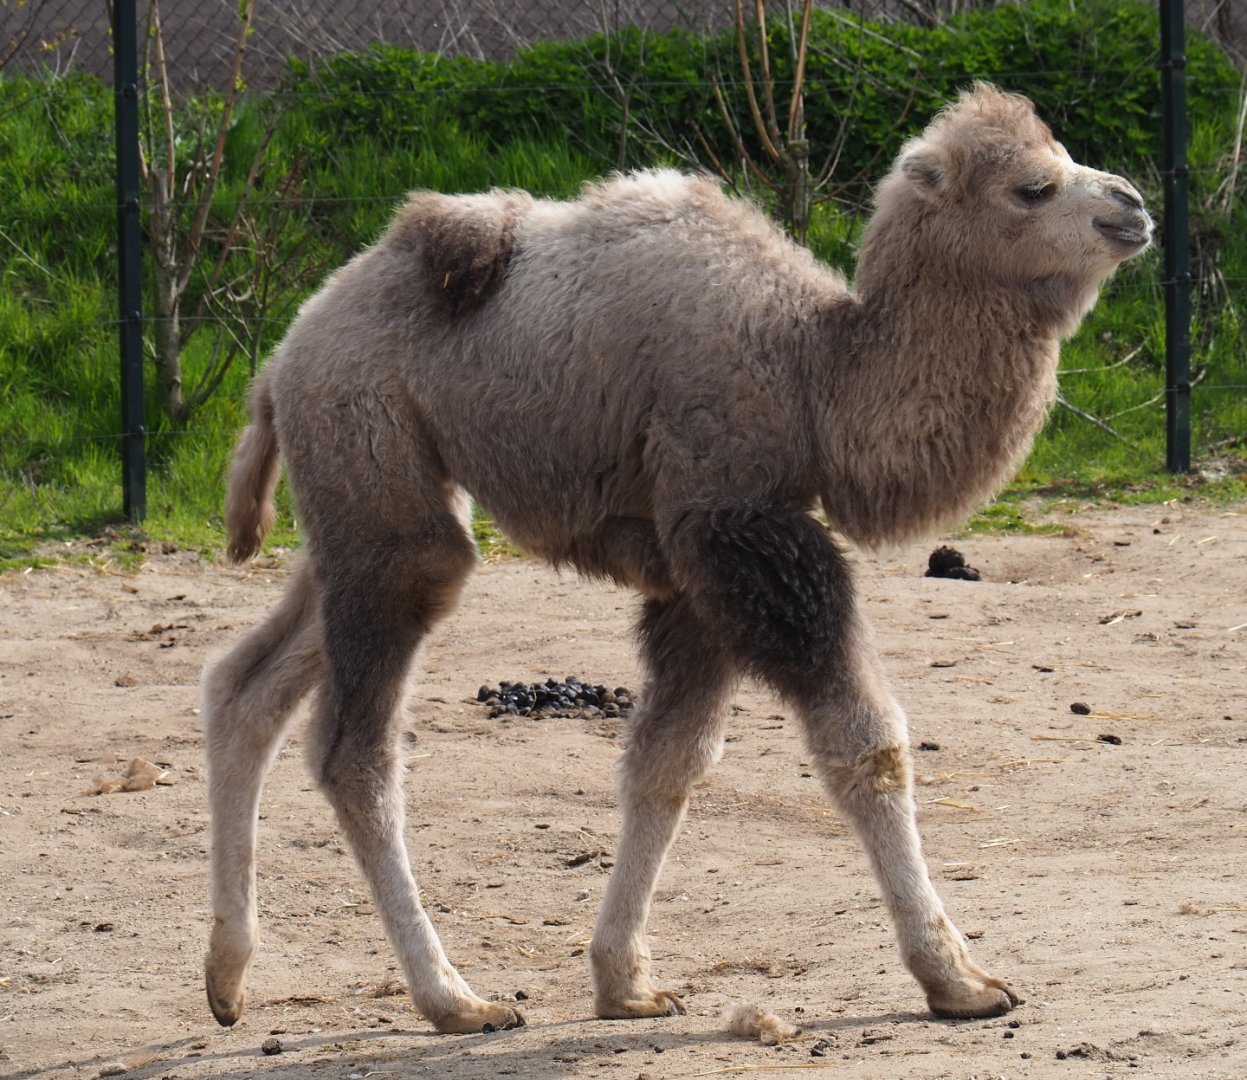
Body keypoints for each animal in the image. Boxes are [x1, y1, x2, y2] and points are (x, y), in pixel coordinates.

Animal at [201, 83, 1151, 1035]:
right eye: (1031, 187)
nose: (1132, 205)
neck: (811, 375)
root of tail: (282, 356)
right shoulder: (738, 530)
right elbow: (865, 747)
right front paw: (958, 979)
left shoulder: (695, 572)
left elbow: (667, 764)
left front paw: (624, 980)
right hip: (376, 465)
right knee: (354, 750)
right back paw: (454, 999)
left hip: (358, 502)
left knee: (246, 684)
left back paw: (227, 980)